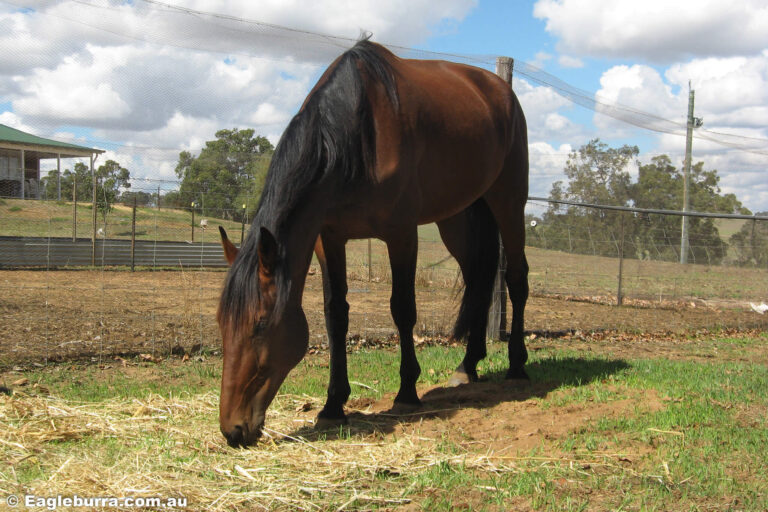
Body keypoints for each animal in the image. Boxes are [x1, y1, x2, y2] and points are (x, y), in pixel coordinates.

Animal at [216, 39, 528, 448]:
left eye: (261, 324)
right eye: (222, 323)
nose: (233, 430)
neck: (354, 136)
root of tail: (500, 90)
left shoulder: (401, 234)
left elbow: (403, 309)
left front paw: (407, 392)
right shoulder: (328, 239)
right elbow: (336, 316)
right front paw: (333, 405)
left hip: (509, 200)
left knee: (516, 279)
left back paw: (517, 364)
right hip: (458, 217)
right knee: (480, 279)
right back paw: (468, 365)